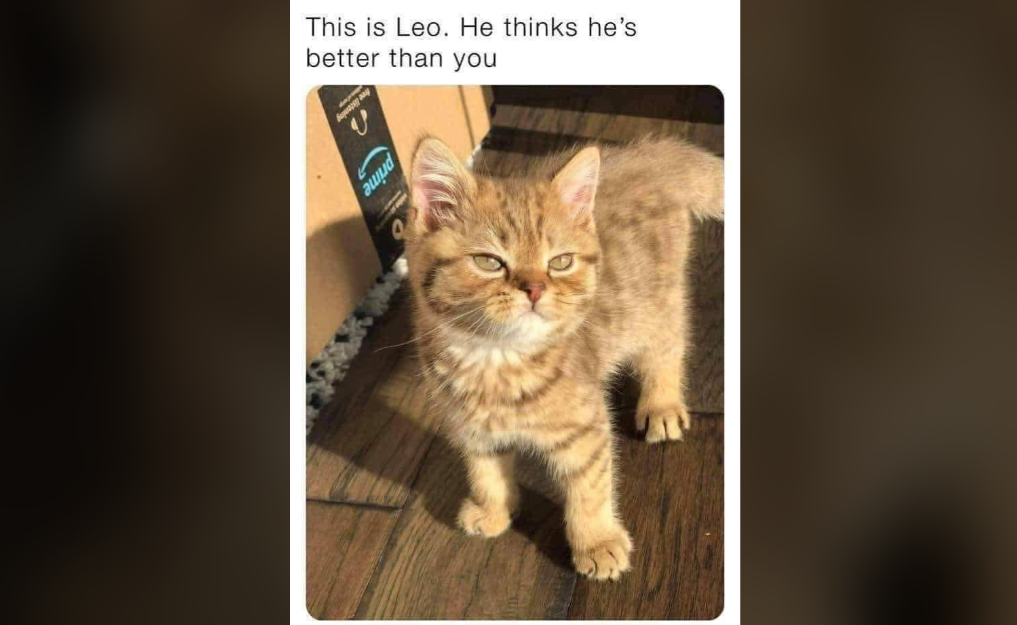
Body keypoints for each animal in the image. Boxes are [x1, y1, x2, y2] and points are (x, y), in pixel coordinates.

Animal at [400, 136, 720, 581]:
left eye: (561, 262)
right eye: (488, 261)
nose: (535, 289)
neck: (495, 360)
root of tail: (647, 155)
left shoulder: (587, 429)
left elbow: (590, 488)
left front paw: (597, 542)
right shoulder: (470, 427)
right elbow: (485, 472)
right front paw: (492, 510)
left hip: (657, 304)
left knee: (668, 347)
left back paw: (662, 404)